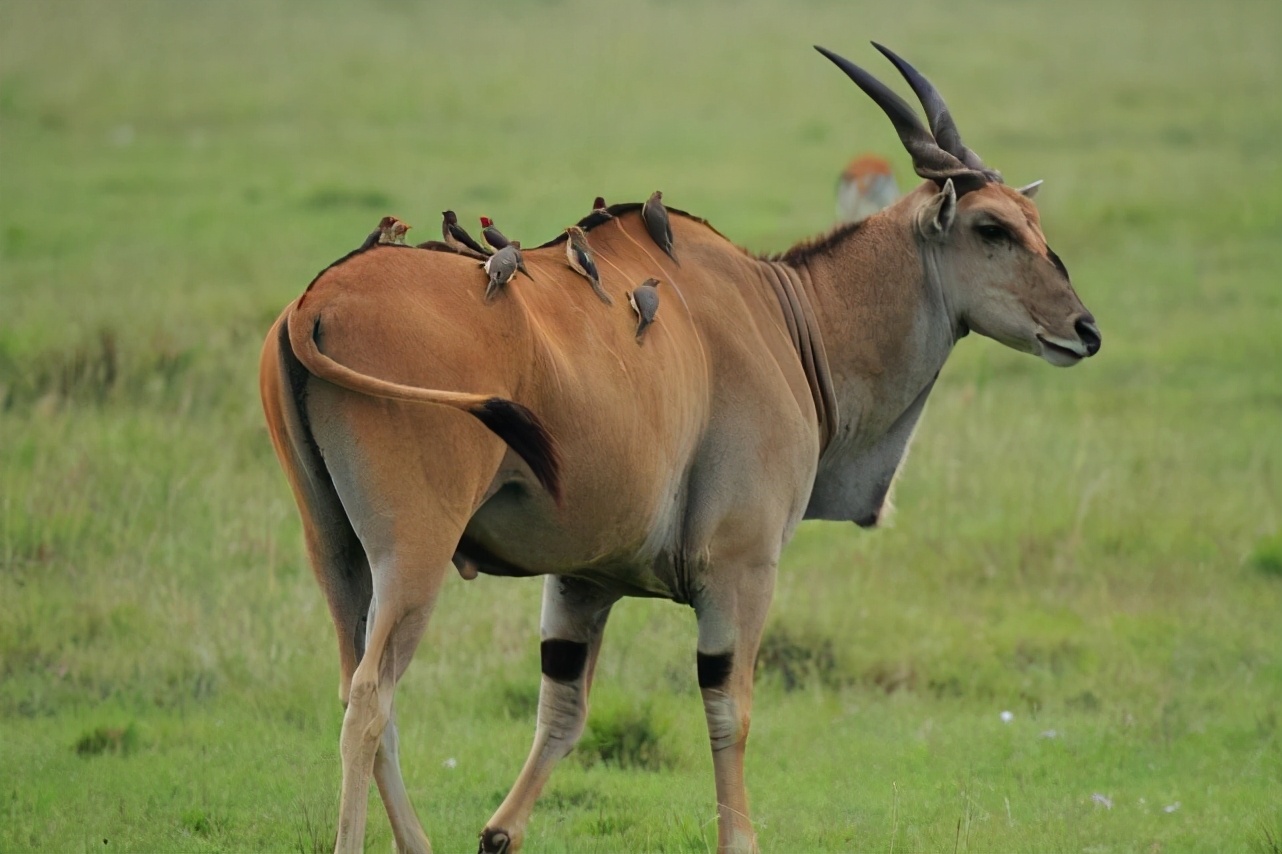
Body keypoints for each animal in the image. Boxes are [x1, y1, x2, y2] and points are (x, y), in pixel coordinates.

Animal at [260, 41, 1102, 851]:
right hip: (416, 552)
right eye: (992, 228)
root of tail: (313, 303)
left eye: (1032, 223)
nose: (1085, 329)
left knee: (363, 693)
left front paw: (499, 833)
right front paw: (740, 839)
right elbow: (730, 710)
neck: (788, 316)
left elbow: (561, 714)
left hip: (337, 552)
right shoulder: (741, 568)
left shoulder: (582, 580)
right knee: (371, 699)